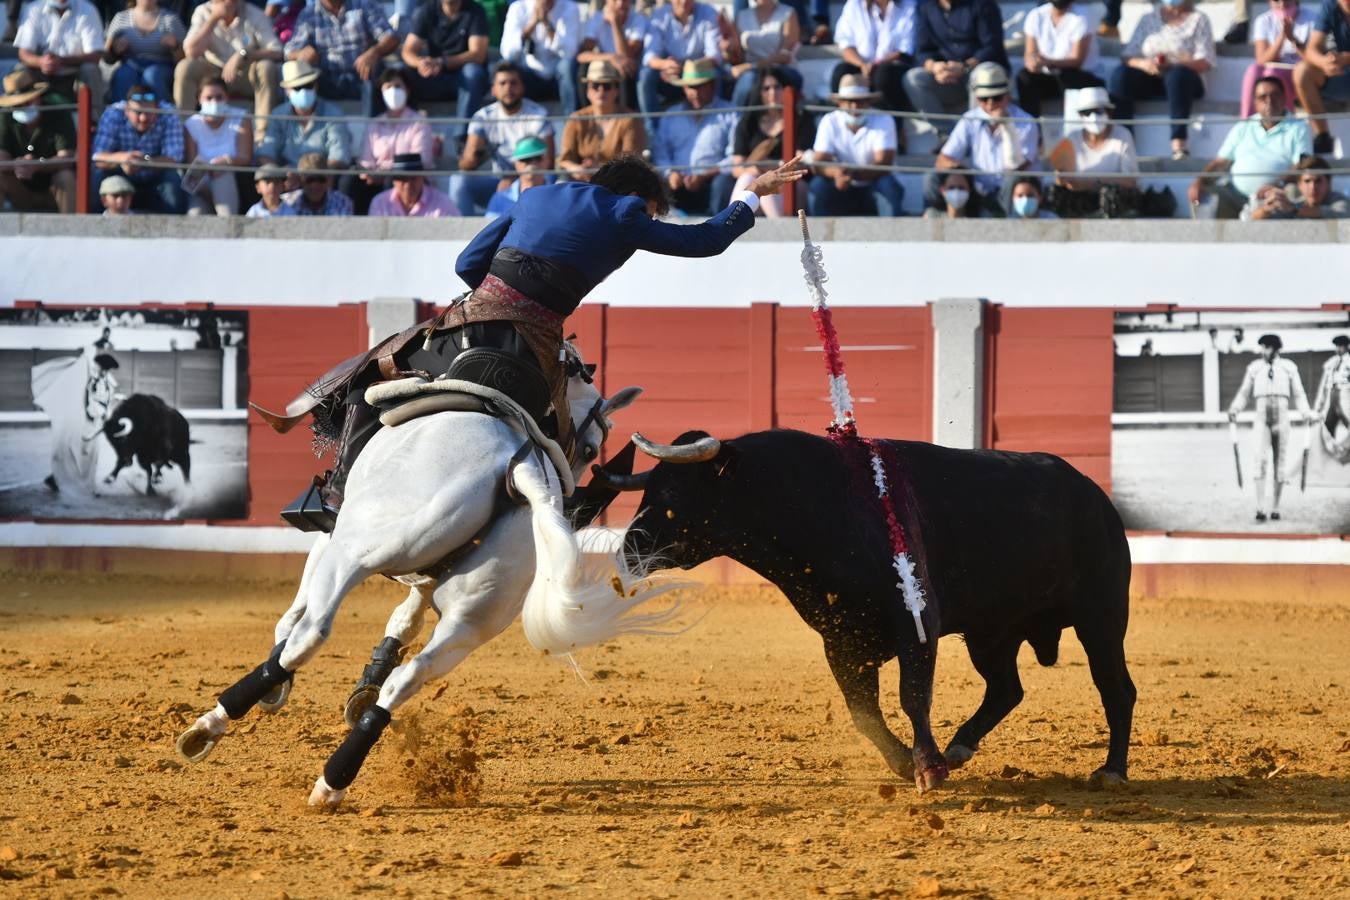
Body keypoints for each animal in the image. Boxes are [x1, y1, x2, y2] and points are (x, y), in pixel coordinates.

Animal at [179, 348, 680, 809]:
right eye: (591, 448)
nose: (572, 508)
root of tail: (519, 468)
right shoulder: (427, 581)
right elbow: (406, 619)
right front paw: (364, 685)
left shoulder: (329, 536)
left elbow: (293, 615)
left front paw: (277, 689)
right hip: (474, 618)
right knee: (410, 675)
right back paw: (333, 780)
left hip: (356, 548)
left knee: (313, 632)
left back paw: (211, 726)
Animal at [596, 431, 1134, 793]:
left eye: (671, 493)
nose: (627, 552)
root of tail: (1093, 493)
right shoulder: (841, 637)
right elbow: (863, 711)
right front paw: (904, 763)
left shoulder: (917, 621)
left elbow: (912, 697)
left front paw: (927, 768)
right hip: (991, 632)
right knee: (1006, 688)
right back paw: (960, 747)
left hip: (1102, 617)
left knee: (1116, 688)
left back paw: (1111, 771)